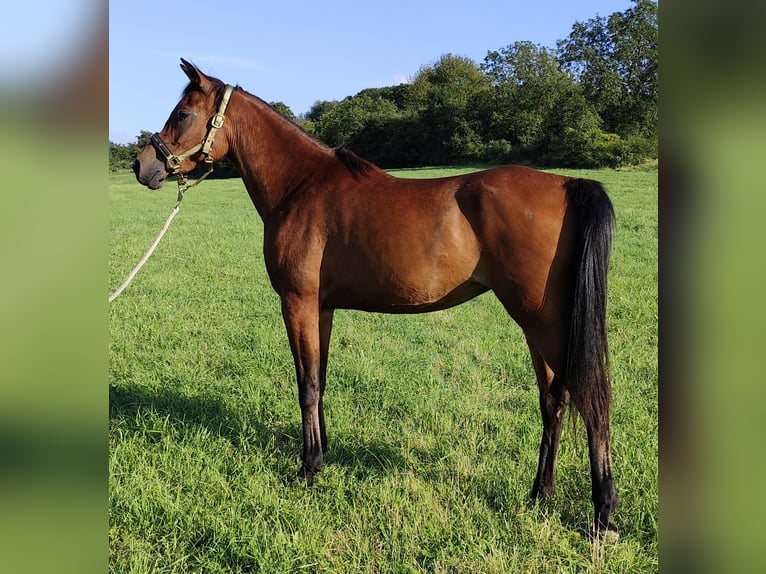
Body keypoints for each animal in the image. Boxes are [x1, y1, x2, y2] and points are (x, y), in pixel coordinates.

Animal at [134, 59, 616, 540]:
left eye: (183, 113)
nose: (142, 166)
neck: (300, 187)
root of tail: (567, 185)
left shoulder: (297, 302)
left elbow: (306, 385)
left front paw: (307, 468)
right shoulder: (322, 308)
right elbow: (321, 378)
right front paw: (323, 452)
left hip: (546, 324)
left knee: (592, 402)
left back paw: (603, 514)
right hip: (539, 326)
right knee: (554, 401)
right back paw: (541, 493)